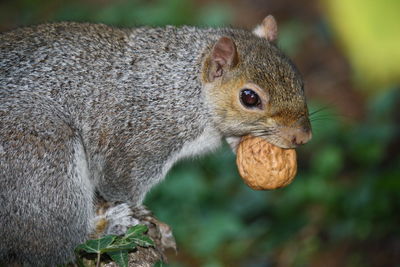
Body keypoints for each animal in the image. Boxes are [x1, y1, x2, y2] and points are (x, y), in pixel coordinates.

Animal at [0, 15, 312, 266]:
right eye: (249, 97)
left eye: (299, 81)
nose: (303, 136)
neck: (184, 87)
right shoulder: (140, 140)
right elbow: (119, 184)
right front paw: (150, 222)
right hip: (41, 158)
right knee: (56, 244)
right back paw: (109, 225)